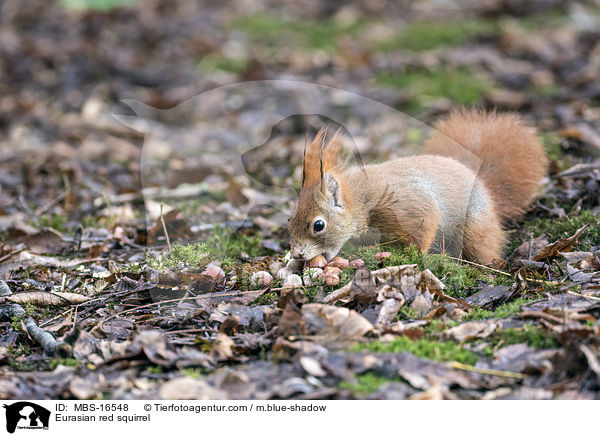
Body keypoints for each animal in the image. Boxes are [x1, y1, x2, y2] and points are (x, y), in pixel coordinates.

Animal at [290, 110, 548, 264]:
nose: (296, 254)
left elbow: (423, 228)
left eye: (318, 225)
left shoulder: (406, 206)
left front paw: (410, 256)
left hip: (476, 225)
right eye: (290, 220)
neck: (362, 200)